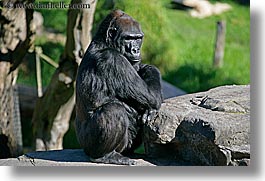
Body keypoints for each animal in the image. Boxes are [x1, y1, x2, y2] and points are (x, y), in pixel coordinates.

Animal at [73, 9, 161, 165]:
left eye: (138, 38)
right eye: (128, 38)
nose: (135, 50)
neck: (103, 42)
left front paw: (148, 68)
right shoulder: (113, 59)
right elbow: (152, 96)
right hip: (87, 145)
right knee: (114, 110)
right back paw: (104, 156)